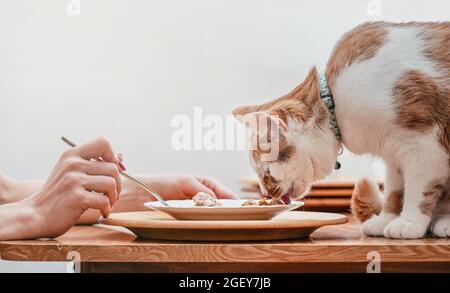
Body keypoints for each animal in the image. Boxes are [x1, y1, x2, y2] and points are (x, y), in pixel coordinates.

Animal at [234, 21, 448, 238]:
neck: (335, 105)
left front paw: (408, 222)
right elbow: (394, 192)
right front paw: (386, 219)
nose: (265, 194)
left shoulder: (425, 146)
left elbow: (417, 190)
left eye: (267, 171)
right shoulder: (394, 155)